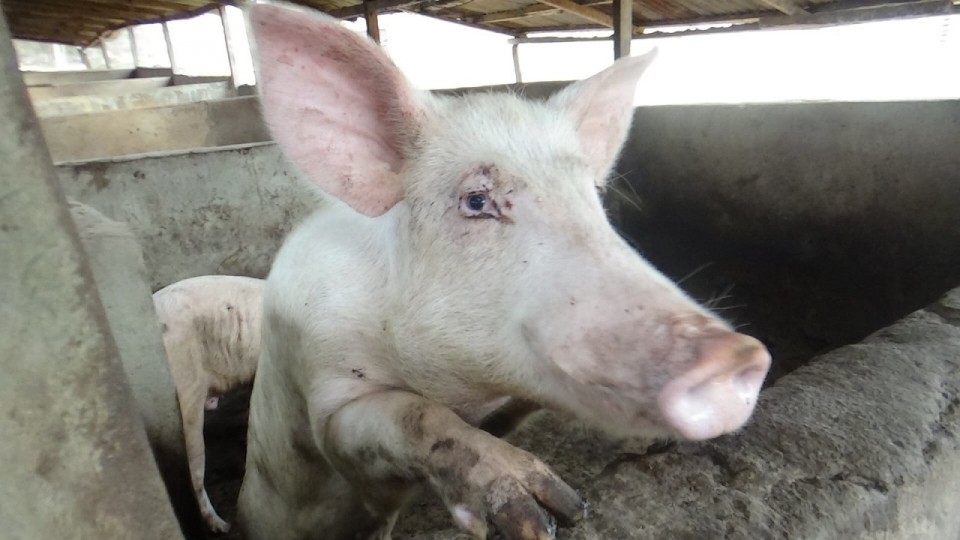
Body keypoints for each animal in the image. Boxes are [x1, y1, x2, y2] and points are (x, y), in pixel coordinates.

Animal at [237, 3, 771, 540]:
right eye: (476, 200)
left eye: (592, 194)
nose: (736, 355)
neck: (462, 390)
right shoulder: (328, 398)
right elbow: (413, 416)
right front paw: (544, 514)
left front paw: (568, 510)